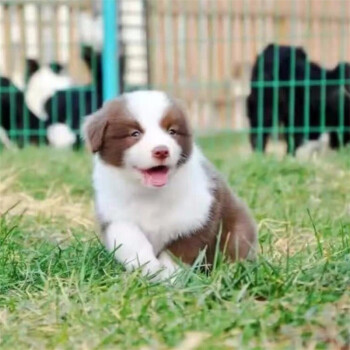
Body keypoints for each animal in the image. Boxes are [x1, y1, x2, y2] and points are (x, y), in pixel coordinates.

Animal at [83, 91, 256, 282]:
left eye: (172, 131)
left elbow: (178, 253)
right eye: (135, 133)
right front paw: (148, 268)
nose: (161, 151)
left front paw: (169, 278)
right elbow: (130, 240)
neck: (150, 193)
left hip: (238, 229)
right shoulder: (115, 214)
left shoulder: (198, 215)